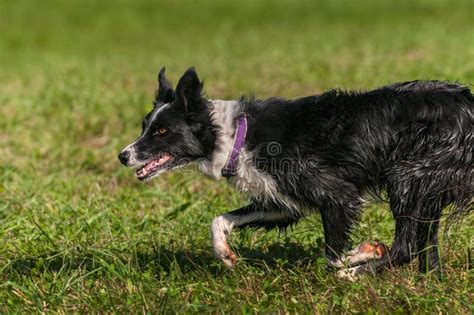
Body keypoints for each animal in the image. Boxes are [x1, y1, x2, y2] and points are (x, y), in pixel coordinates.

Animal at [117, 67, 470, 278]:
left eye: (162, 131)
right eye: (145, 126)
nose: (123, 156)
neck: (238, 135)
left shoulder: (337, 195)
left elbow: (332, 255)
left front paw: (362, 255)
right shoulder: (282, 201)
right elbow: (219, 220)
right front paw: (225, 254)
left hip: (407, 177)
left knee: (406, 246)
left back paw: (356, 274)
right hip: (425, 188)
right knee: (425, 247)